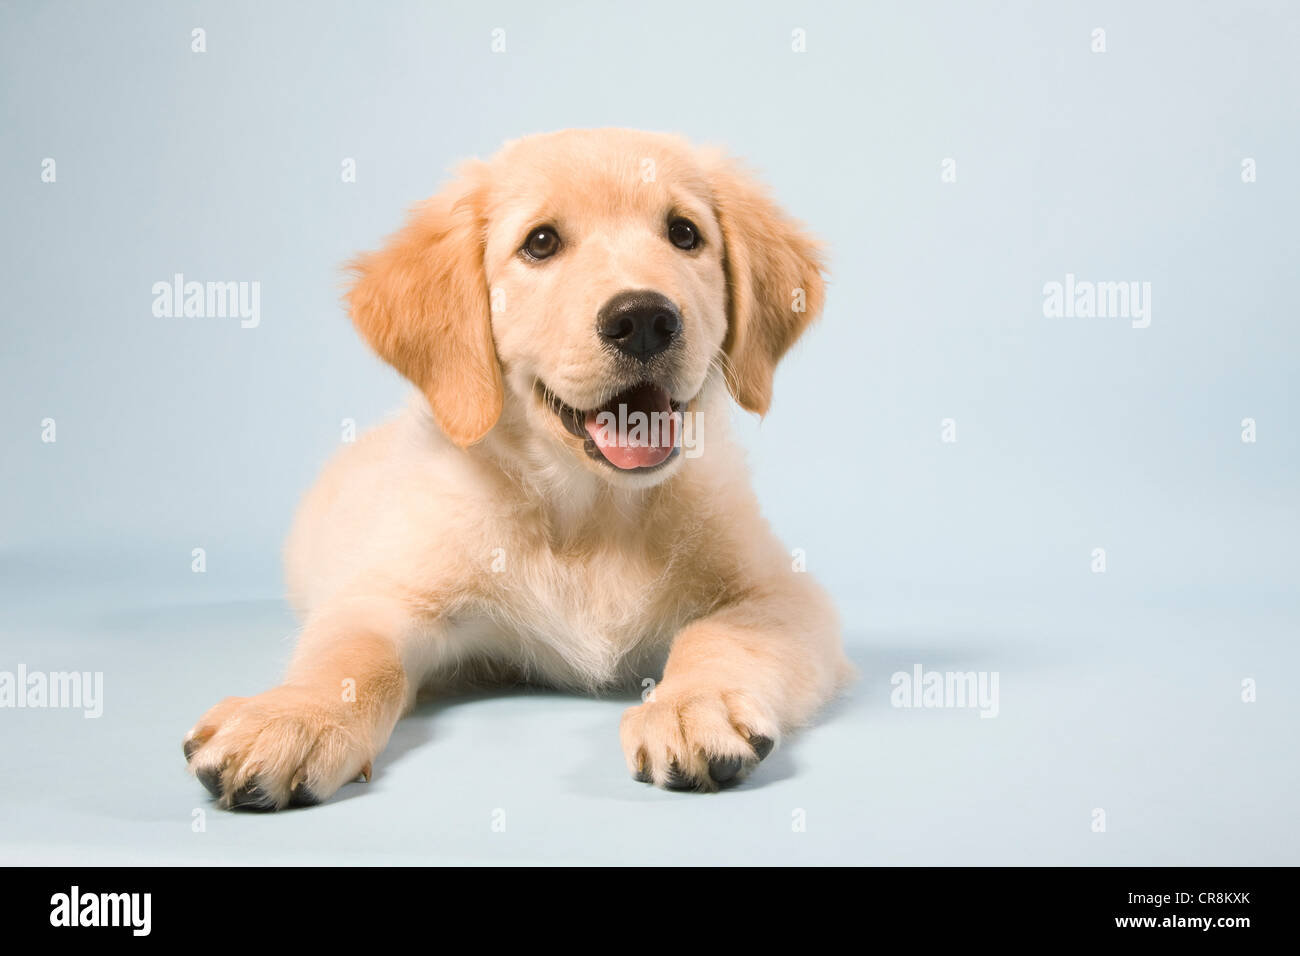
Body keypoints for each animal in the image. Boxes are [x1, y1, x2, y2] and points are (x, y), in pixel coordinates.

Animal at [185, 130, 852, 811]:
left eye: (684, 233)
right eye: (541, 242)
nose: (644, 318)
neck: (590, 514)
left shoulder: (780, 593)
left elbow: (721, 637)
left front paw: (694, 707)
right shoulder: (385, 592)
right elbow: (350, 657)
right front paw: (291, 716)